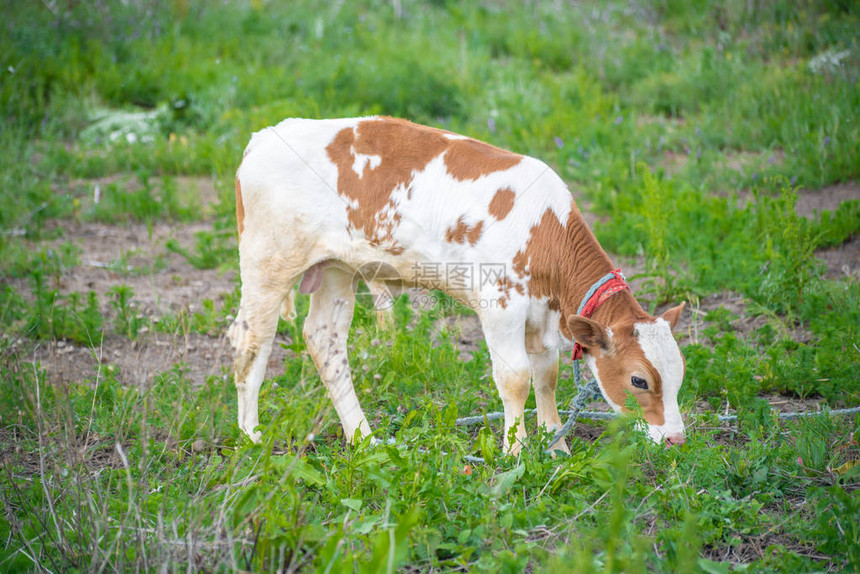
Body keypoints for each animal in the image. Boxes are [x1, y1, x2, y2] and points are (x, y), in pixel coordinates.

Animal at [228, 115, 684, 452]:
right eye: (639, 380)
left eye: (679, 372)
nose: (677, 439)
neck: (546, 231)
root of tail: (264, 137)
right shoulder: (500, 304)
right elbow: (515, 377)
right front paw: (515, 452)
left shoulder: (542, 314)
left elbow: (546, 373)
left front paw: (556, 445)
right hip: (267, 263)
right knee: (251, 343)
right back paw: (251, 436)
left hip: (337, 268)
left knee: (325, 342)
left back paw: (364, 438)